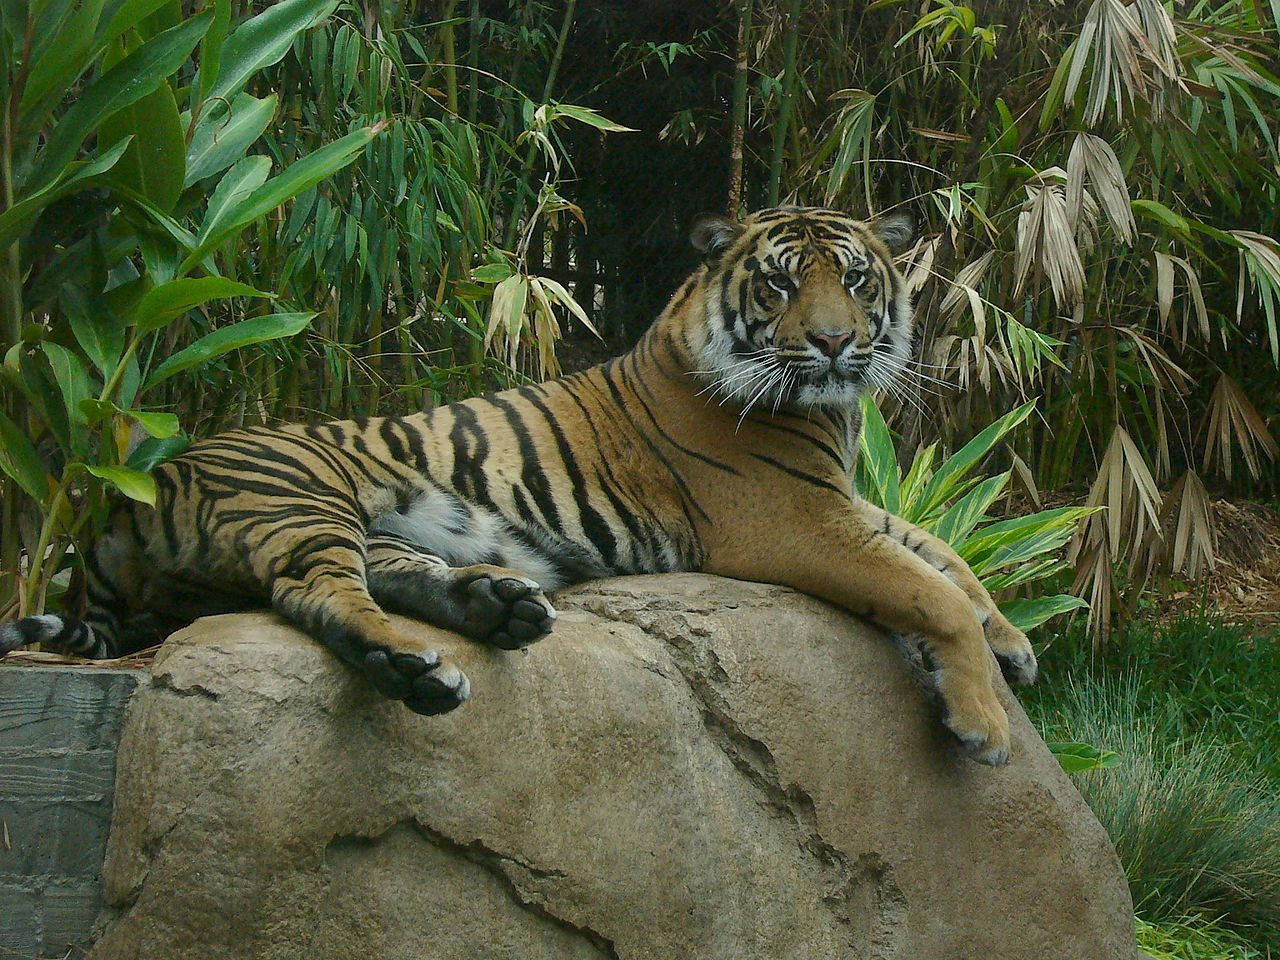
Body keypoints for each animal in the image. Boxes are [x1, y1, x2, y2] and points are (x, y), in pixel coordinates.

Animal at [0, 205, 1036, 766]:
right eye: (780, 286)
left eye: (858, 281)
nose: (832, 342)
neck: (833, 412)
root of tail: (123, 494)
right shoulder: (797, 518)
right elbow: (927, 590)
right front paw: (985, 723)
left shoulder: (844, 500)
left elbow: (944, 554)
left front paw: (1013, 646)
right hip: (302, 497)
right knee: (316, 594)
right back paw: (417, 669)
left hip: (381, 523)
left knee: (388, 576)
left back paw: (498, 608)